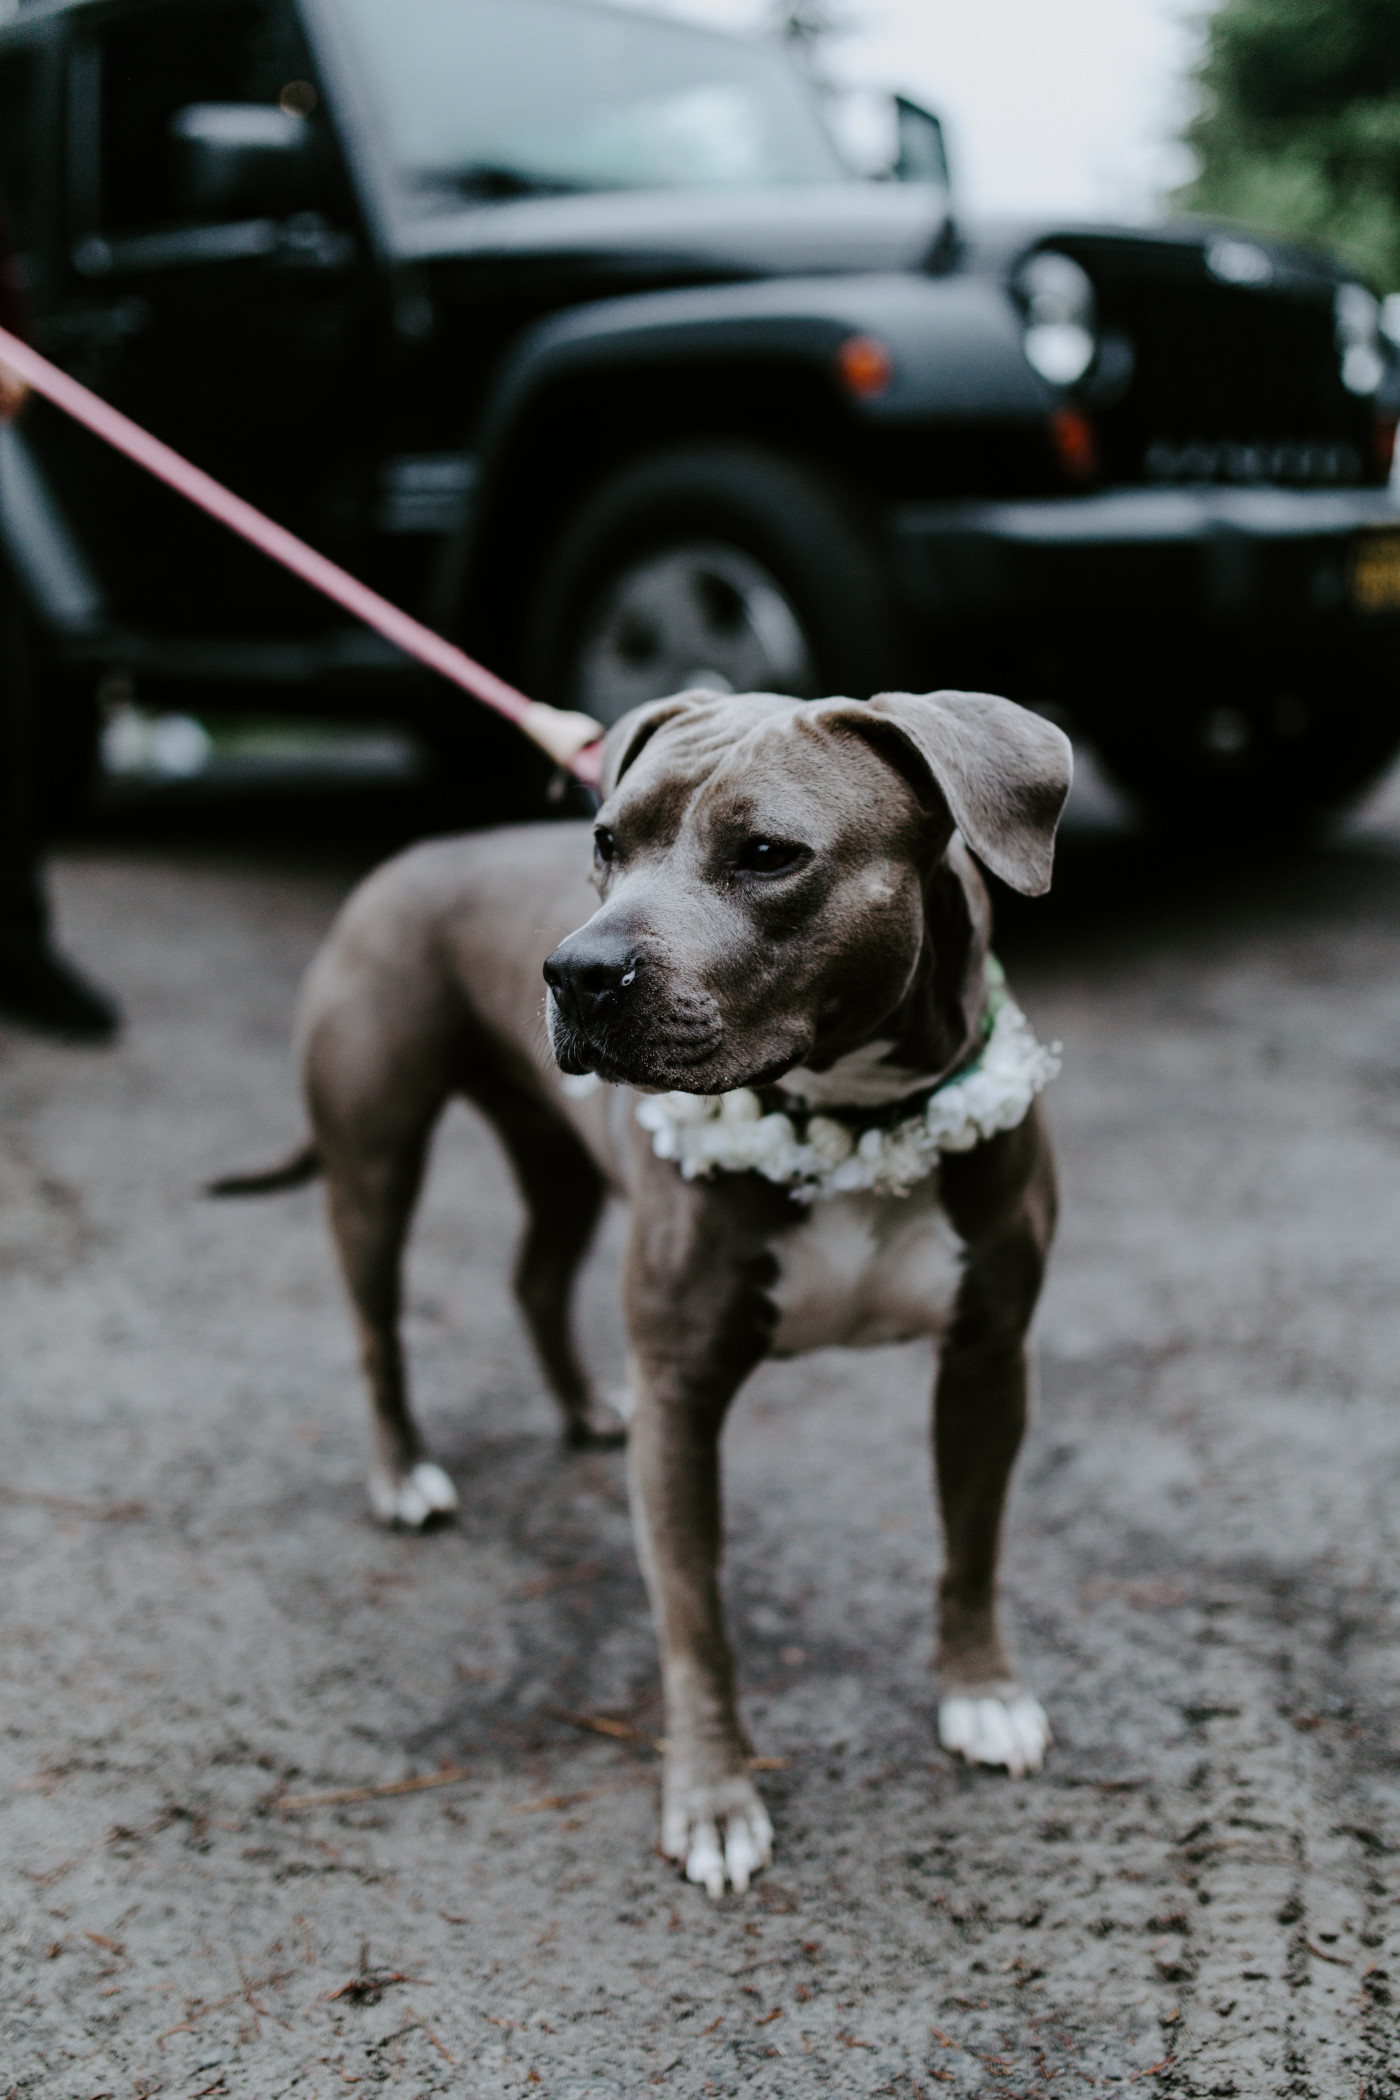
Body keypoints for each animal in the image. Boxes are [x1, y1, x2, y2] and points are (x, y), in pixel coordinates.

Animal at [221, 692, 1074, 1906]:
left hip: (556, 1156)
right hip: (373, 1165)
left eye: (767, 855)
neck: (854, 1115)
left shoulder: (987, 1358)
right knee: (376, 1326)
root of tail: (409, 858)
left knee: (533, 1278)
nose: (575, 971)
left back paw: (583, 1408)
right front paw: (713, 1803)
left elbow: (974, 1545)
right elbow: (694, 1622)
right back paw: (403, 1475)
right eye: (605, 843)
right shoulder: (681, 1398)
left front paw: (983, 1694)